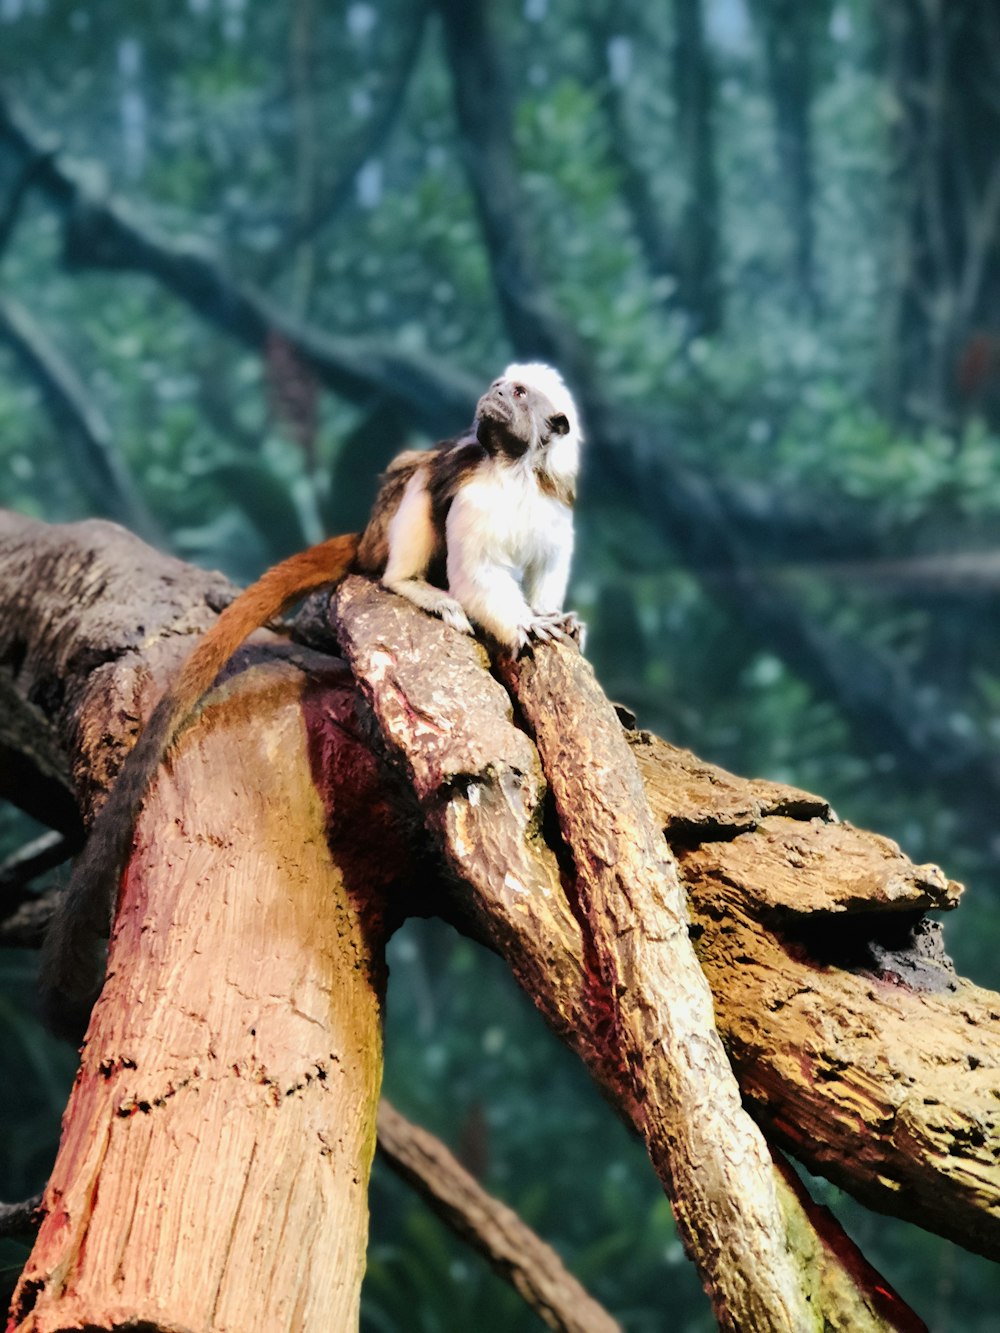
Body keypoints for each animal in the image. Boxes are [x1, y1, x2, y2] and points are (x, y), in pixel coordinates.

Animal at [43, 359, 584, 1023]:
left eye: (518, 393)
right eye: (501, 387)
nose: (493, 393)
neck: (515, 472)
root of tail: (367, 538)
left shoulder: (552, 505)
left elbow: (547, 568)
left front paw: (553, 617)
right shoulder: (476, 495)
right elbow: (475, 571)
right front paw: (520, 625)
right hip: (386, 532)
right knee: (415, 486)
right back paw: (410, 584)